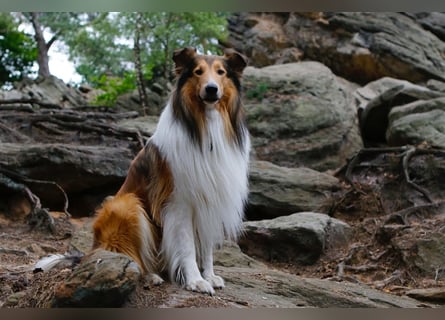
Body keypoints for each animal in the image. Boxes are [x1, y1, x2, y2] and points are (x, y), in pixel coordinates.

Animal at [92, 47, 250, 296]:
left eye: (221, 72)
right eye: (197, 72)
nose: (211, 89)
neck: (206, 127)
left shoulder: (209, 199)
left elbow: (206, 247)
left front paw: (209, 276)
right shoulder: (179, 202)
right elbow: (187, 246)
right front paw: (195, 281)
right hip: (125, 205)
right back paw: (149, 275)